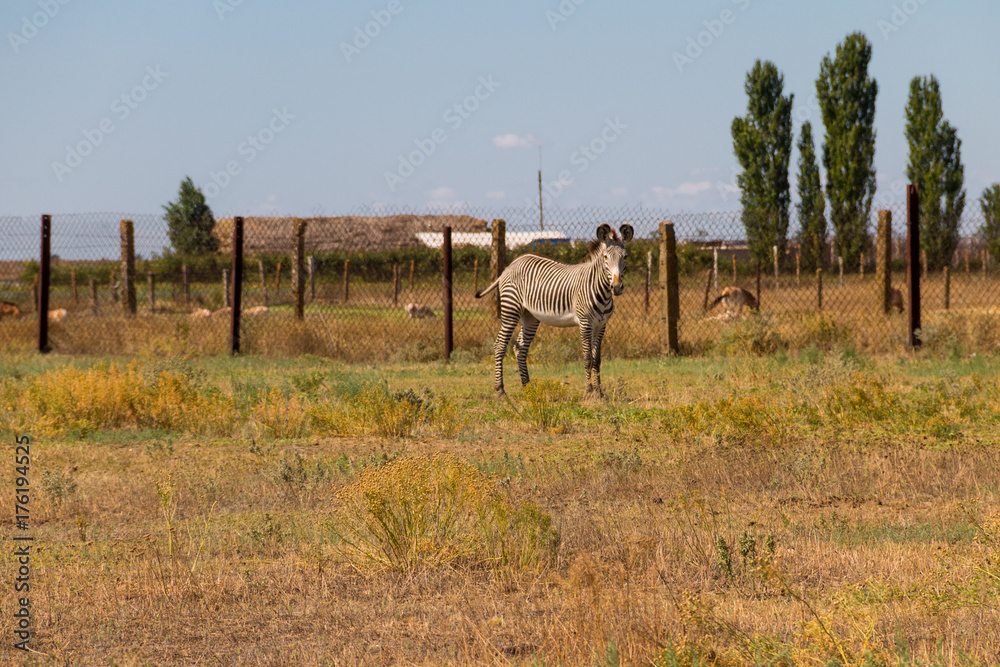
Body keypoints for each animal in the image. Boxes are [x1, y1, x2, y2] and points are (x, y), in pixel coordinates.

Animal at [475, 223, 633, 398]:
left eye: (625, 257)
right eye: (605, 257)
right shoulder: (585, 323)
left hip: (530, 316)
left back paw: (527, 387)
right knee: (500, 345)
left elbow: (597, 359)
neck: (602, 292)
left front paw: (600, 393)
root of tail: (511, 265)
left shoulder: (601, 325)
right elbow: (587, 359)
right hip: (511, 309)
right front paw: (589, 391)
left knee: (520, 348)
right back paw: (501, 390)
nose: (617, 287)